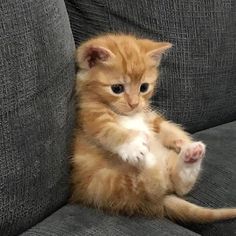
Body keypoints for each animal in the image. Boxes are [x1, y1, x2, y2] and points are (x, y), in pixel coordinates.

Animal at [71, 33, 236, 223]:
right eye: (117, 88)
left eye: (144, 87)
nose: (134, 103)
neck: (129, 114)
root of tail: (162, 200)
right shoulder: (89, 116)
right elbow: (108, 131)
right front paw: (133, 146)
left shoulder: (148, 116)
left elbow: (163, 126)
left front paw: (183, 140)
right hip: (109, 185)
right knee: (152, 184)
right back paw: (146, 157)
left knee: (179, 186)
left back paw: (191, 155)